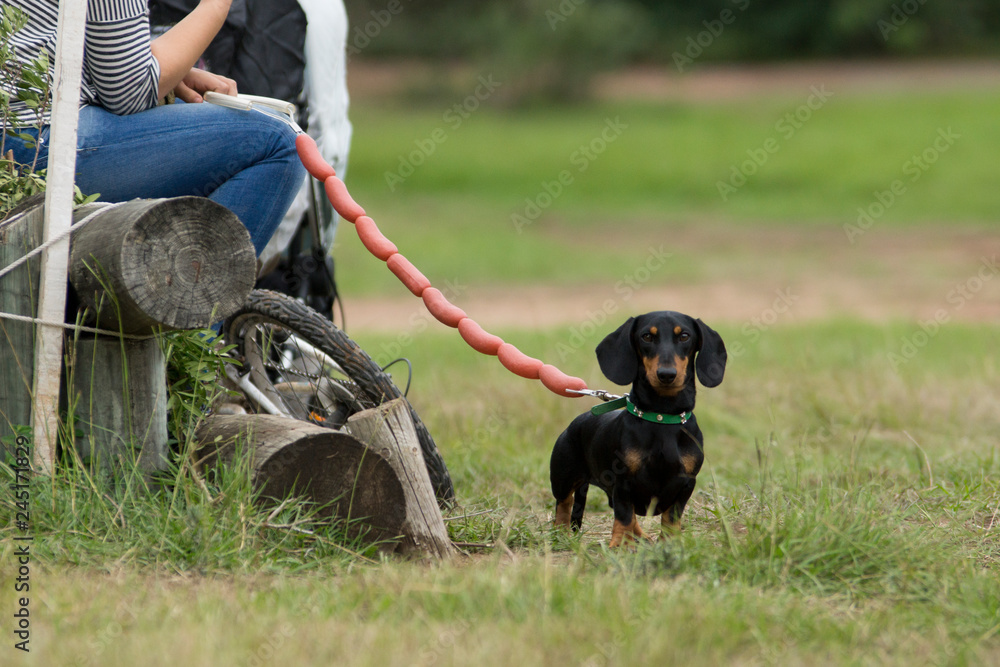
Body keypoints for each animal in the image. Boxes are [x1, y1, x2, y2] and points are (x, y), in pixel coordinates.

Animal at [552, 310, 724, 544]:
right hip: (563, 478)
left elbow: (672, 515)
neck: (662, 417)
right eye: (647, 336)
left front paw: (670, 541)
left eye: (684, 336)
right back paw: (560, 534)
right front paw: (620, 544)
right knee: (564, 504)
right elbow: (624, 515)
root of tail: (575, 423)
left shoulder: (686, 484)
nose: (666, 374)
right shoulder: (622, 483)